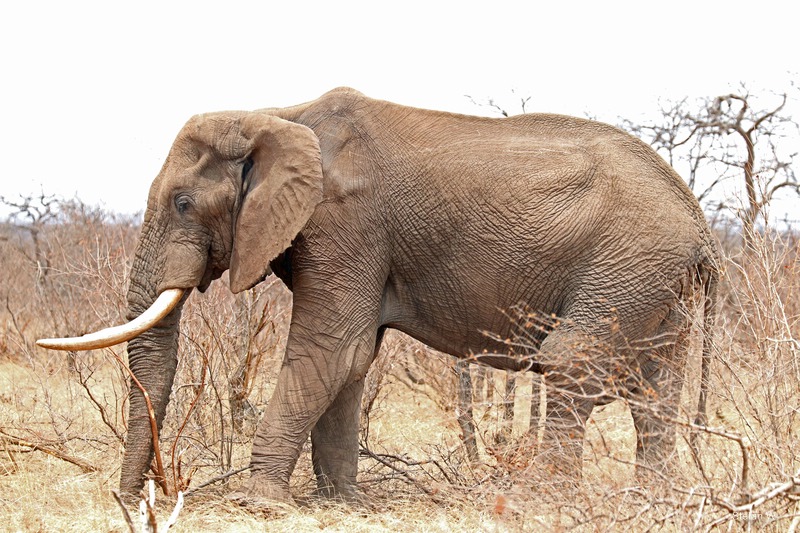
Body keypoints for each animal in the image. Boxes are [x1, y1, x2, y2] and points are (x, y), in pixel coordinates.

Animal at [38, 87, 718, 505]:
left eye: (183, 203)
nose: (134, 498)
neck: (273, 113)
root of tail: (700, 222)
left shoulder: (347, 222)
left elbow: (328, 350)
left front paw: (259, 501)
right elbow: (353, 358)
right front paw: (340, 501)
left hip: (628, 263)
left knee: (572, 361)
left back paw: (541, 501)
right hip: (658, 282)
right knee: (656, 392)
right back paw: (653, 501)